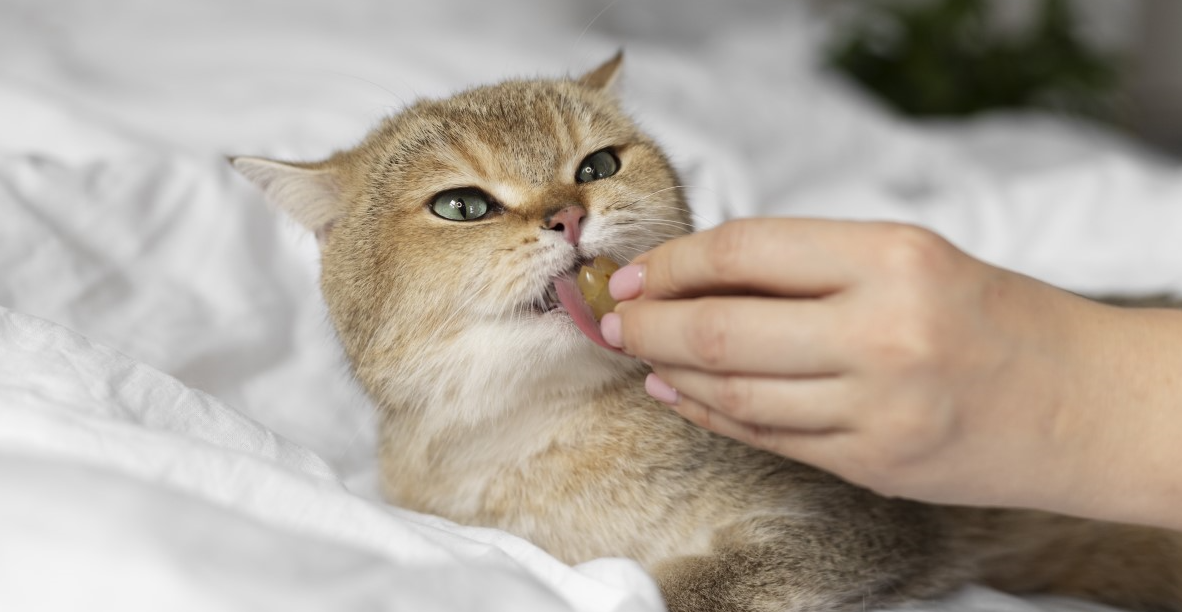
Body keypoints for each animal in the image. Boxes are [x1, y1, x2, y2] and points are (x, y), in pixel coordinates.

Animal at [230, 55, 1182, 609]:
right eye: (461, 206)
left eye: (597, 165)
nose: (570, 216)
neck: (539, 442)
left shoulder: (869, 524)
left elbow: (691, 587)